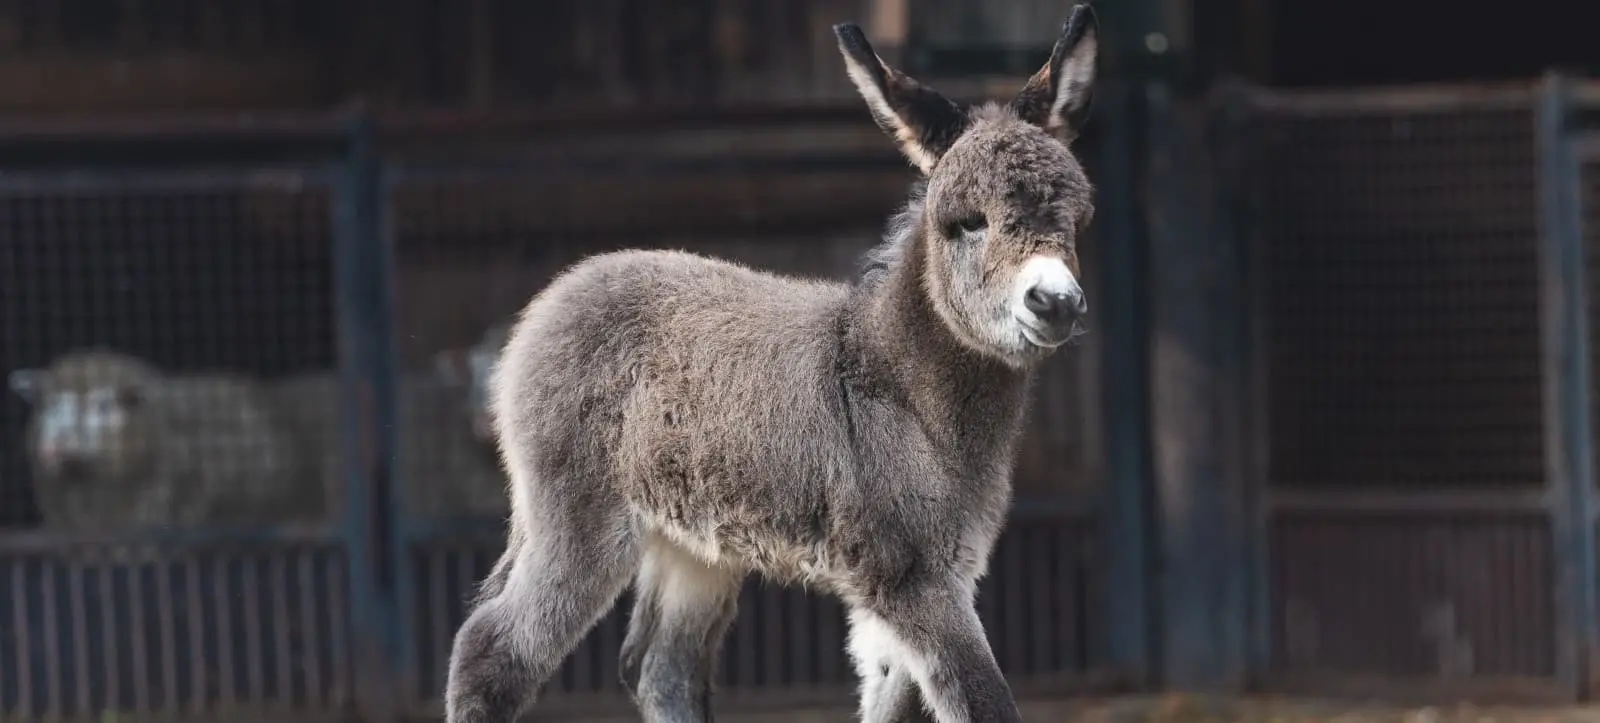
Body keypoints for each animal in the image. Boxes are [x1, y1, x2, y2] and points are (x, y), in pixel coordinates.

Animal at [451, 7, 1100, 723]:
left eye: (1078, 220)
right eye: (967, 222)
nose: (1055, 302)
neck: (901, 383)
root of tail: (553, 297)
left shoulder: (918, 581)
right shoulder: (912, 575)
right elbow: (983, 701)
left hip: (693, 539)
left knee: (660, 668)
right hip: (579, 512)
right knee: (492, 650)